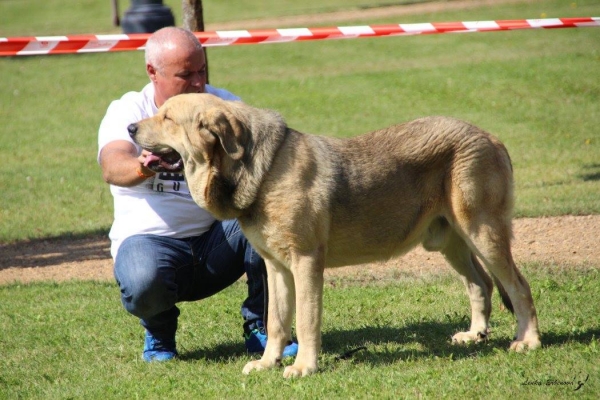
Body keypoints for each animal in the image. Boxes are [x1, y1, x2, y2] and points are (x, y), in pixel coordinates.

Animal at [129, 93, 540, 378]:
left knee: (519, 287)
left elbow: (307, 320)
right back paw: (475, 334)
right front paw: (267, 363)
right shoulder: (276, 268)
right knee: (481, 284)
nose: (131, 128)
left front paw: (303, 367)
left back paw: (529, 341)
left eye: (167, 117)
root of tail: (491, 137)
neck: (261, 172)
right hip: (451, 242)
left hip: (483, 232)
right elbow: (276, 322)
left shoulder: (307, 263)